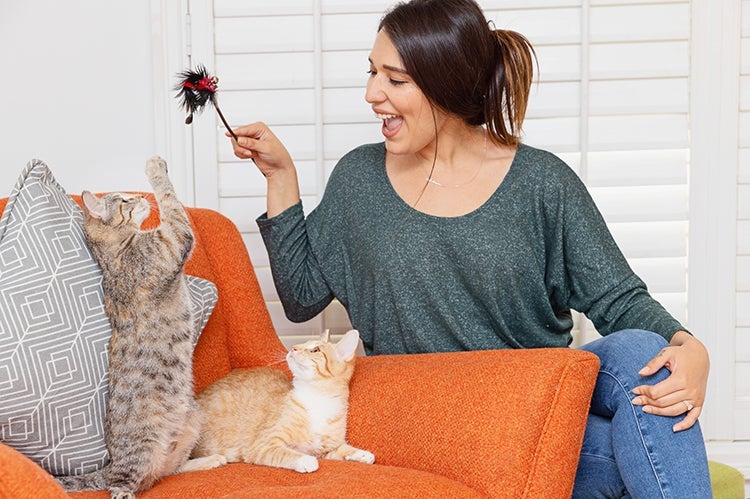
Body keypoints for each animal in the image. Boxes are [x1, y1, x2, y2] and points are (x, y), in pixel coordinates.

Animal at [55, 157, 223, 499]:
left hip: (193, 417)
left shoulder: (173, 239)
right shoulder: (175, 237)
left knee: (169, 470)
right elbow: (170, 199)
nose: (139, 196)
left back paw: (209, 460)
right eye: (123, 201)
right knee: (123, 484)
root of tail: (109, 466)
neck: (115, 253)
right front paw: (155, 168)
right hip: (140, 451)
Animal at [191, 330, 374, 474]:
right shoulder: (264, 444)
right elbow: (286, 453)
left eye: (315, 349)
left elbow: (343, 449)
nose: (293, 348)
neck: (317, 400)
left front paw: (362, 454)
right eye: (303, 344)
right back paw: (212, 461)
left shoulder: (326, 450)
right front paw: (305, 460)